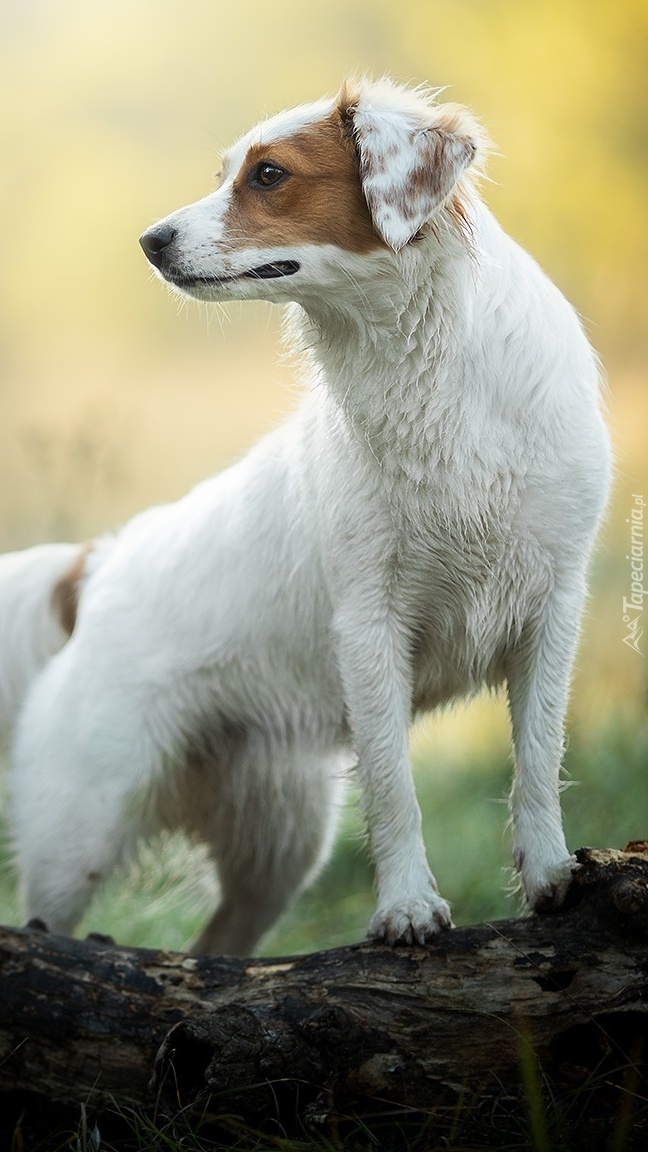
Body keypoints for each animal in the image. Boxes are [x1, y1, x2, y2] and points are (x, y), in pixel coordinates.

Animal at [0, 76, 608, 949]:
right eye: (228, 172)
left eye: (268, 174)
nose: (149, 241)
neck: (428, 370)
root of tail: (98, 563)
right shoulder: (369, 623)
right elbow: (394, 786)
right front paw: (408, 906)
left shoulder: (551, 606)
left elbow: (536, 758)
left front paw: (553, 873)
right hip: (78, 833)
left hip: (277, 850)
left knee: (219, 950)